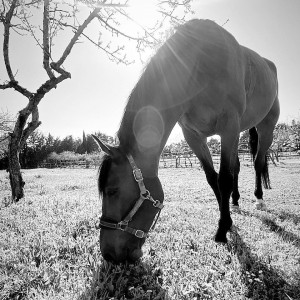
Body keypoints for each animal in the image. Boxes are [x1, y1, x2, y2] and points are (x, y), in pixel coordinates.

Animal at [93, 19, 278, 262]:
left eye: (112, 191)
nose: (109, 254)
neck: (201, 62)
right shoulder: (193, 135)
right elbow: (213, 178)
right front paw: (227, 221)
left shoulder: (229, 126)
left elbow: (224, 179)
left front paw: (222, 230)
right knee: (237, 167)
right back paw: (236, 202)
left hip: (265, 127)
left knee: (257, 163)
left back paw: (259, 199)